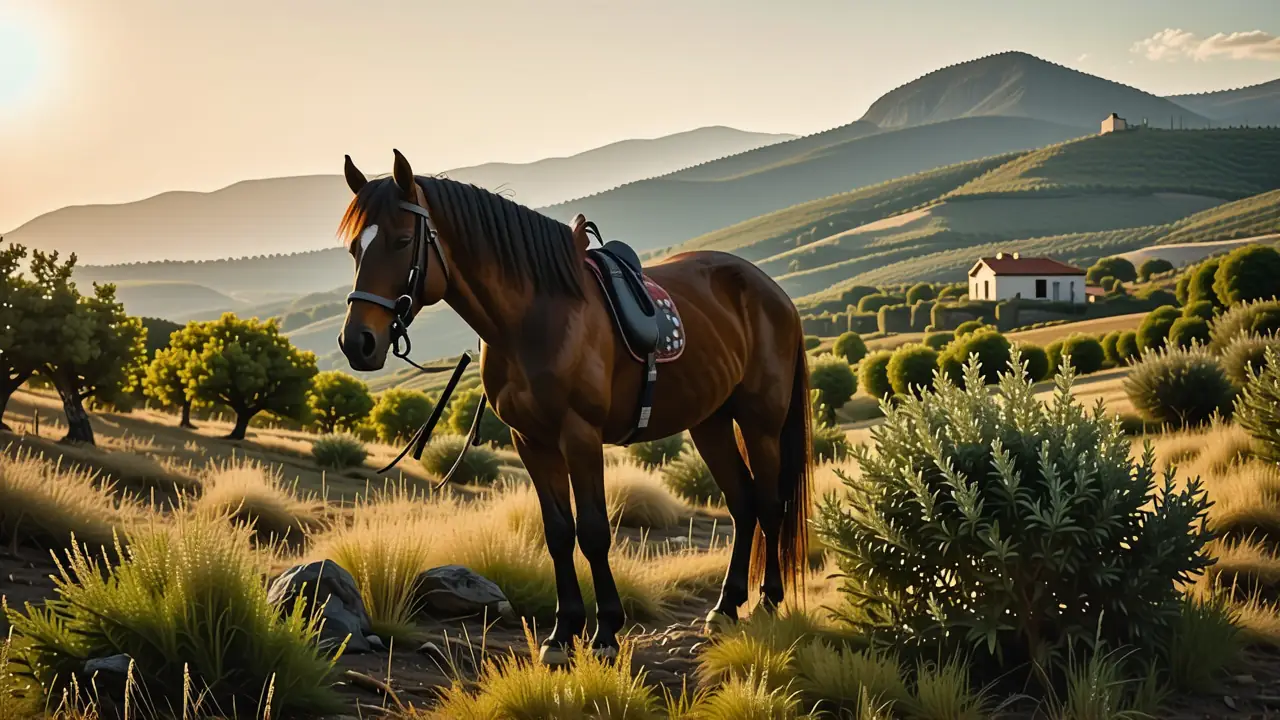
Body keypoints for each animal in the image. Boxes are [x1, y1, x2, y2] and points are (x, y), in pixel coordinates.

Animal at [337, 149, 812, 663]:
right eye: (354, 249)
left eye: (404, 240)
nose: (358, 343)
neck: (535, 316)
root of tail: (774, 294)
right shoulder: (532, 442)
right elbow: (559, 533)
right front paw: (563, 633)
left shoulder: (580, 436)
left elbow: (593, 531)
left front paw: (605, 633)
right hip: (711, 423)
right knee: (742, 504)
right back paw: (725, 607)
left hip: (760, 424)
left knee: (769, 504)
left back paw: (767, 601)